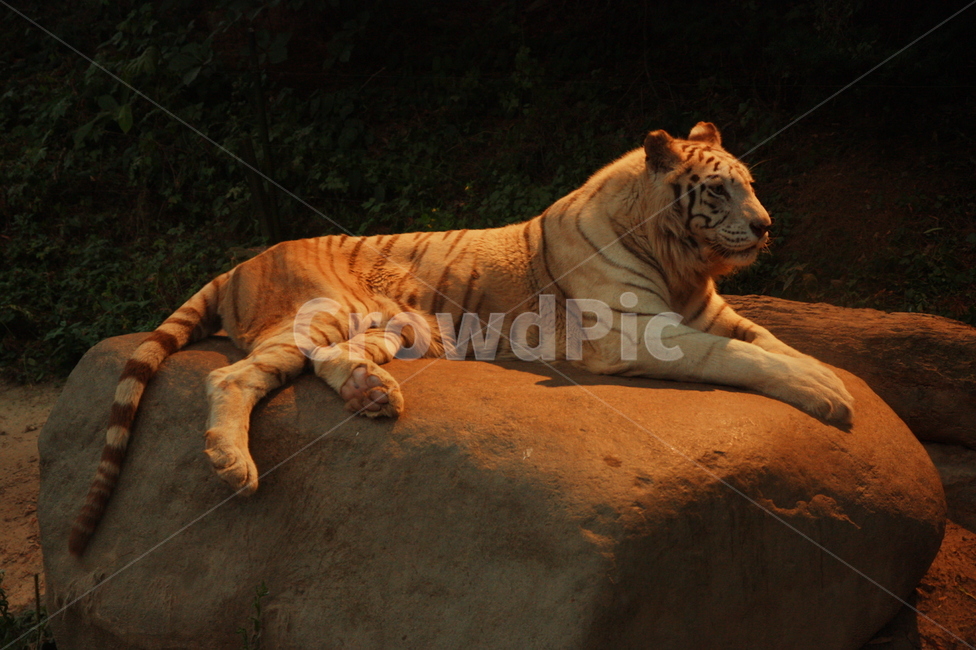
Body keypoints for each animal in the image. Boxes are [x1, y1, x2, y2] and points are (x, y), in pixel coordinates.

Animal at [68, 121, 854, 556]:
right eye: (719, 190)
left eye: (750, 184)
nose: (765, 227)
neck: (682, 262)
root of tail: (242, 260)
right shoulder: (635, 332)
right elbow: (740, 356)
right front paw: (829, 396)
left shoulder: (713, 313)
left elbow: (774, 343)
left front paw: (835, 383)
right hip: (323, 310)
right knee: (231, 375)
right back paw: (235, 468)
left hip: (387, 329)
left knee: (323, 364)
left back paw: (373, 397)